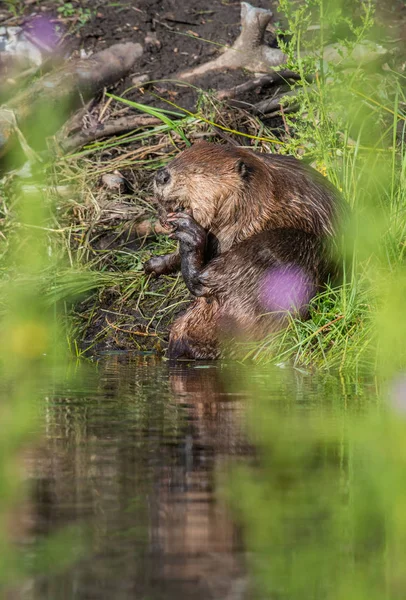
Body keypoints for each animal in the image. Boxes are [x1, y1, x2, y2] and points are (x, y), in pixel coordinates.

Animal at [144, 142, 348, 356]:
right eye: (179, 156)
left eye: (197, 171)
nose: (161, 175)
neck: (257, 193)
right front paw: (154, 260)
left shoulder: (244, 220)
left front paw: (183, 224)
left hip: (286, 247)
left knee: (203, 282)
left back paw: (191, 237)